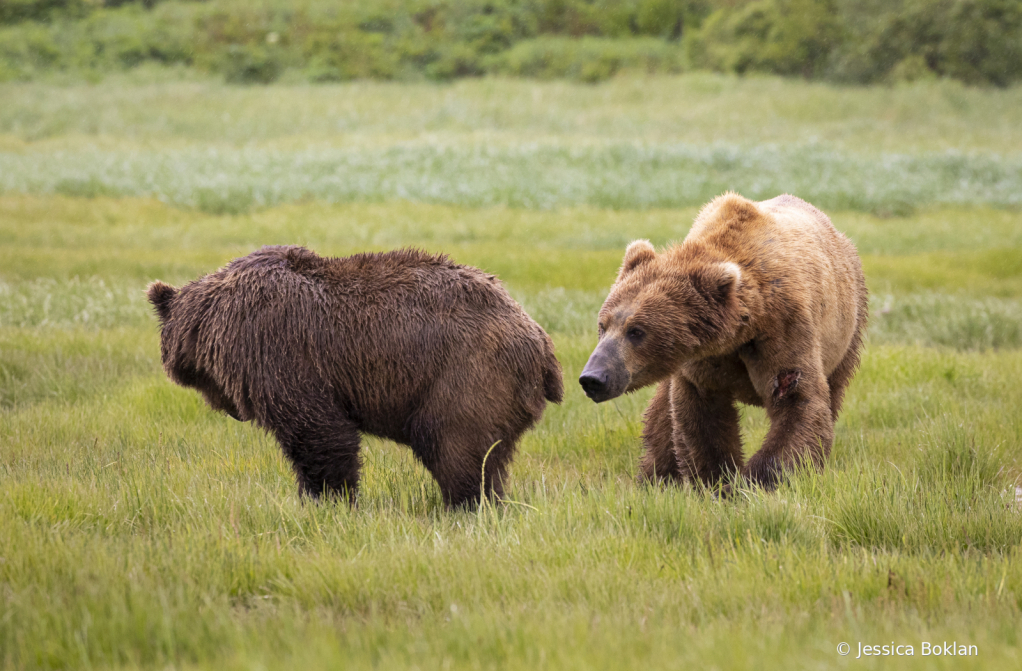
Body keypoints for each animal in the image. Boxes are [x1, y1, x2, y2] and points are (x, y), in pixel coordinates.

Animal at [147, 245, 564, 502]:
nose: (235, 411)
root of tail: (541, 342)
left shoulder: (282, 350)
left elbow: (320, 432)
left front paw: (327, 498)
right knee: (489, 457)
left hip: (466, 377)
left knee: (455, 447)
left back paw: (464, 504)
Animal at [580, 190, 866, 490]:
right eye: (603, 325)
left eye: (636, 331)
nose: (593, 378)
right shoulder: (702, 360)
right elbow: (702, 417)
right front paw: (719, 480)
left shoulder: (783, 329)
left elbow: (796, 397)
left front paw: (758, 478)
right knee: (661, 415)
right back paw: (655, 476)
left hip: (848, 328)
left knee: (834, 387)